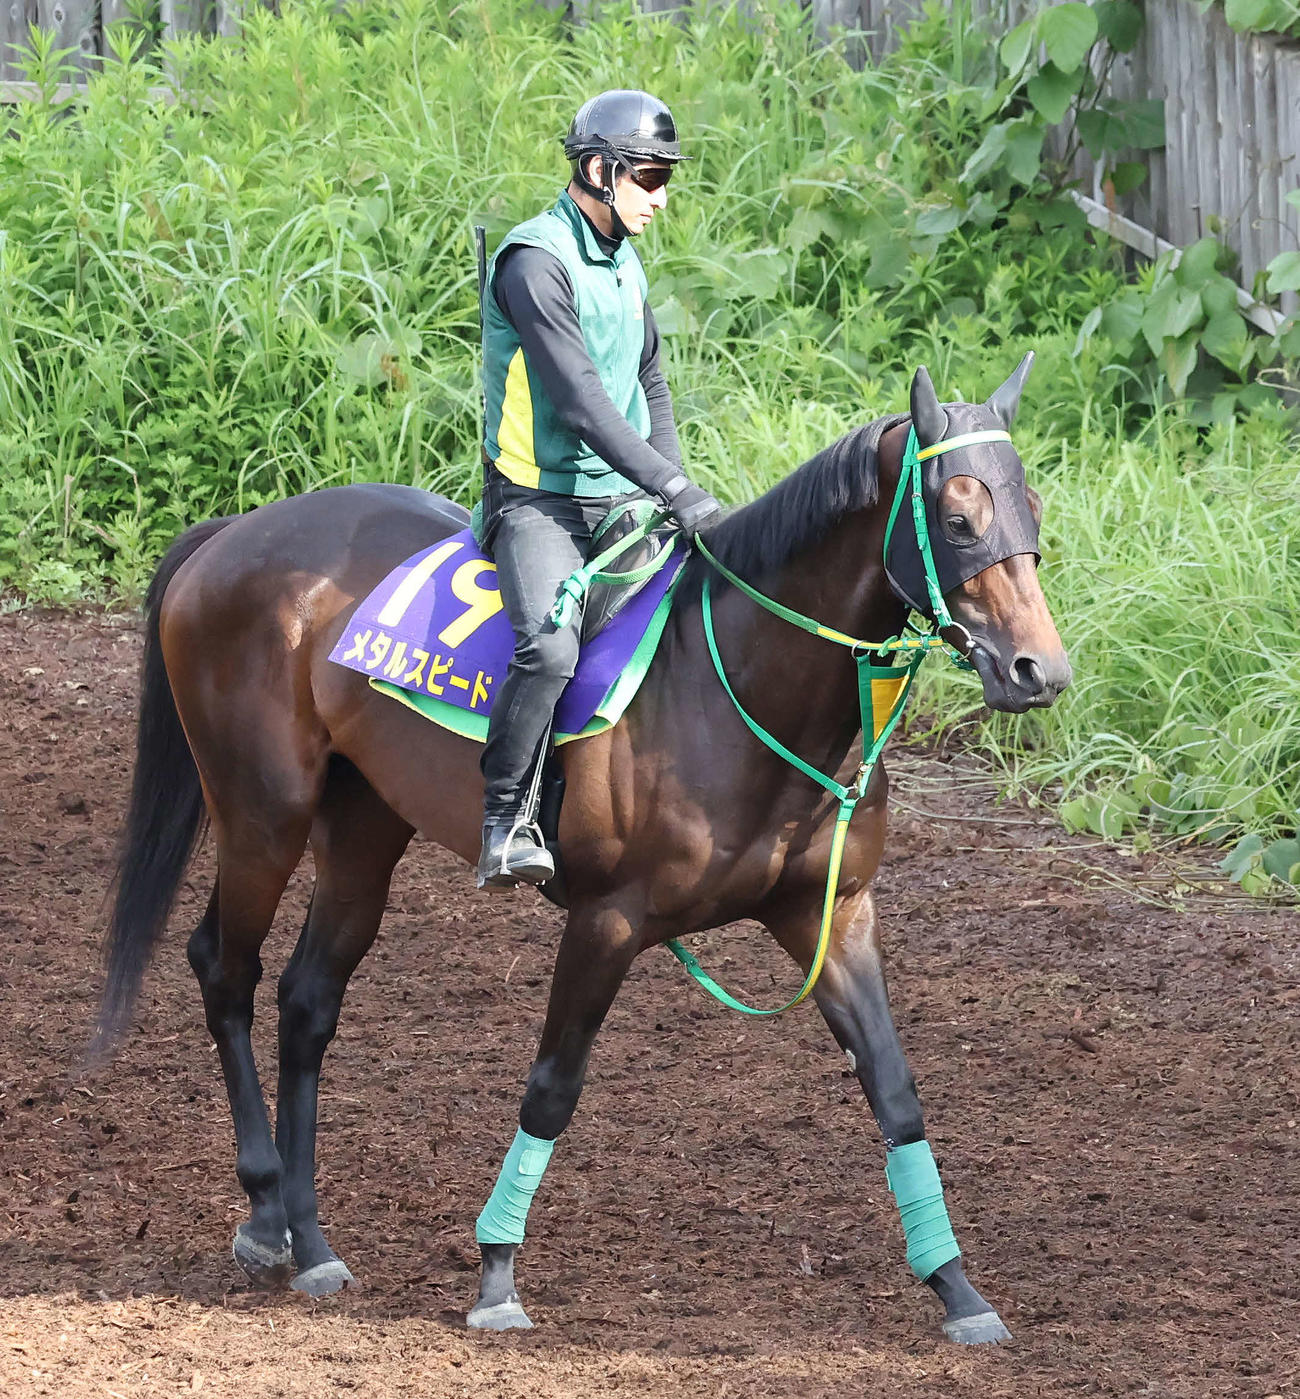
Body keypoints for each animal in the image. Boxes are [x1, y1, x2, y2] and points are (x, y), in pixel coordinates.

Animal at [94, 359, 1070, 1345]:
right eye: (958, 518)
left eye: (1029, 507)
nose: (1040, 671)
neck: (738, 687)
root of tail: (233, 531)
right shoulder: (606, 919)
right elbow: (552, 1087)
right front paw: (496, 1274)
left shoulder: (828, 914)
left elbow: (895, 1090)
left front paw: (958, 1289)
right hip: (263, 813)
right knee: (225, 966)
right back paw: (263, 1213)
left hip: (365, 827)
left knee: (306, 999)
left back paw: (311, 1238)